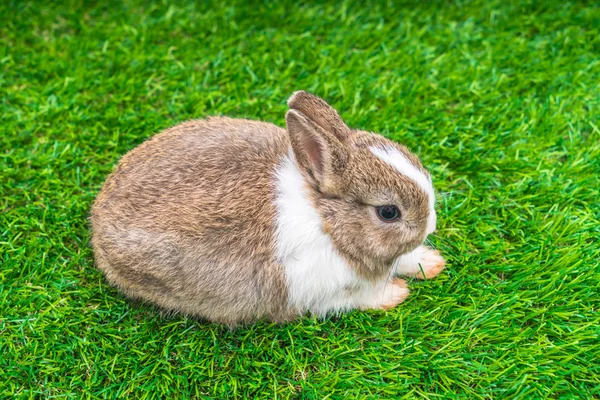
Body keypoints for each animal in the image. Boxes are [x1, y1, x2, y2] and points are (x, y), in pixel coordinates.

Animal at [90, 91, 446, 324]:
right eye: (389, 212)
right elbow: (357, 298)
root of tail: (96, 224)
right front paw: (397, 293)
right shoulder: (316, 290)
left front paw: (431, 262)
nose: (430, 225)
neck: (328, 222)